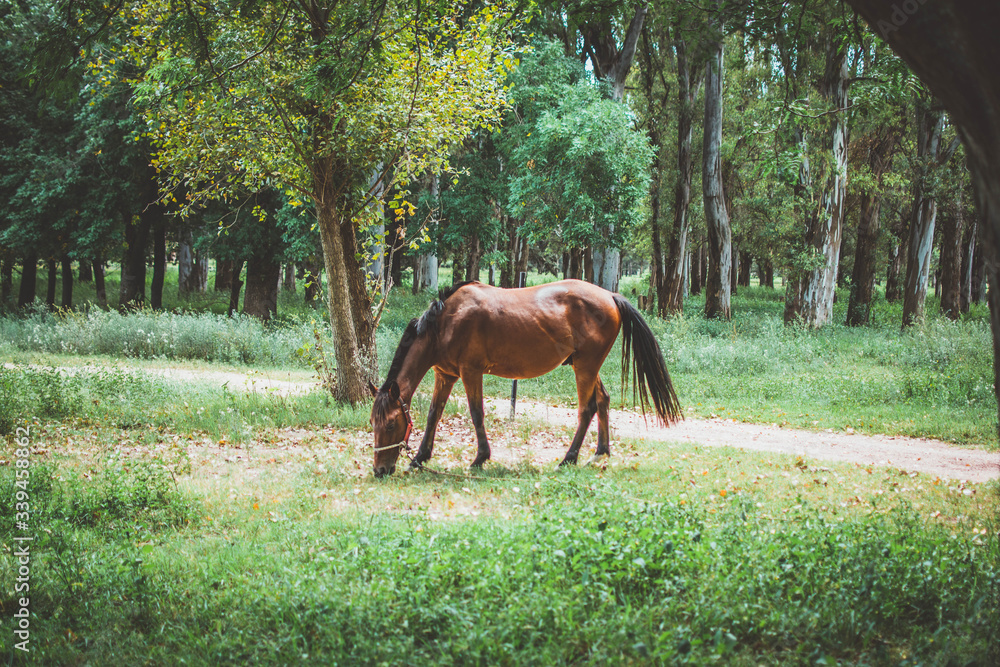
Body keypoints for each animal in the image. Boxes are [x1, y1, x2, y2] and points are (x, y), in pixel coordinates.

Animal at [368, 279, 681, 477]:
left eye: (391, 423)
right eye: (373, 423)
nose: (380, 471)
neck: (445, 322)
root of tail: (610, 296)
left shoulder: (471, 372)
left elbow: (476, 413)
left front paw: (480, 458)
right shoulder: (445, 375)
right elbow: (434, 414)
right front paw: (419, 459)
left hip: (586, 367)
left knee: (587, 408)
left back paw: (568, 459)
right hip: (588, 366)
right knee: (603, 400)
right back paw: (600, 453)